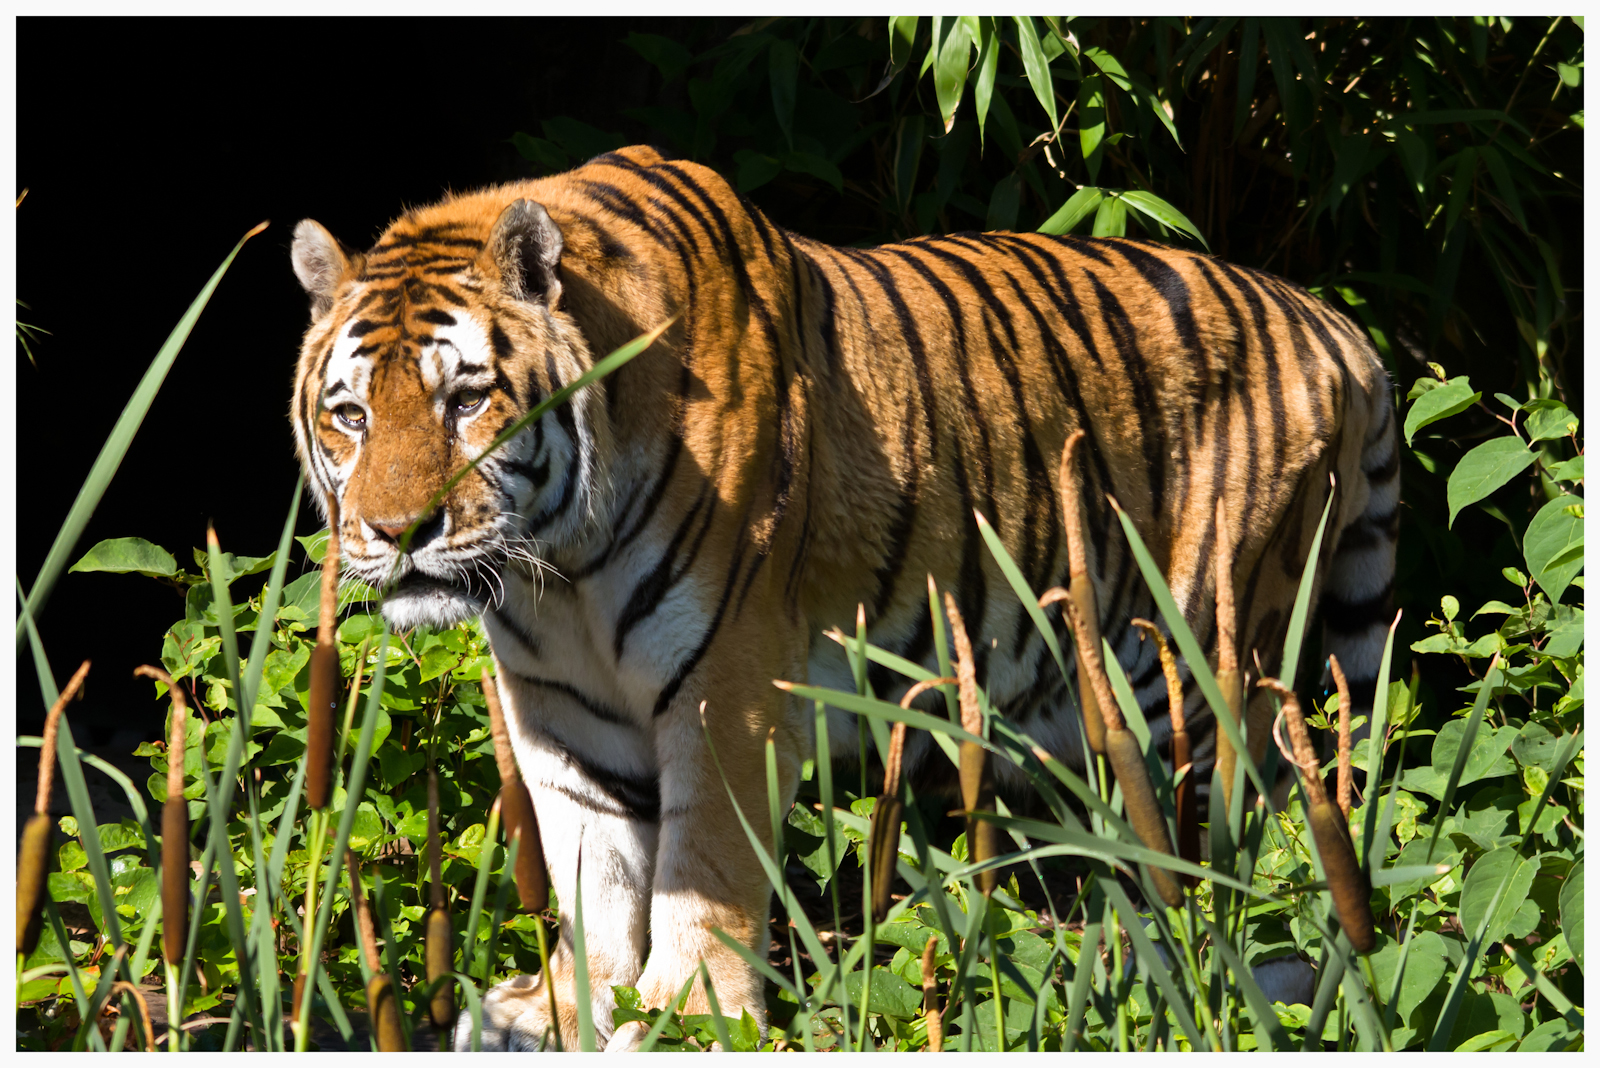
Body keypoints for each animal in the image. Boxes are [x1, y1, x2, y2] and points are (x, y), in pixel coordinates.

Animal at [291, 143, 1401, 1048]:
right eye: (350, 415)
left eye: (467, 398)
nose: (395, 533)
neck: (558, 572)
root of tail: (1335, 324)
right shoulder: (561, 710)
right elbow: (589, 870)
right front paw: (570, 1009)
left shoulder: (726, 684)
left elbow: (706, 864)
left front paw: (692, 1017)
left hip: (1198, 664)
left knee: (1232, 848)